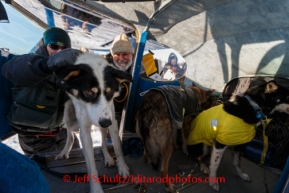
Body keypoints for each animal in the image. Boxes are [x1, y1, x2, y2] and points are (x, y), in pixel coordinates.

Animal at [54, 52, 132, 193]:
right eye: (89, 92)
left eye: (109, 91)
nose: (105, 122)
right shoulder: (85, 129)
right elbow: (91, 164)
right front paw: (96, 188)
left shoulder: (112, 120)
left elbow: (117, 146)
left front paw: (122, 167)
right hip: (68, 113)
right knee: (70, 135)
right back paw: (64, 152)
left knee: (102, 141)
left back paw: (108, 158)